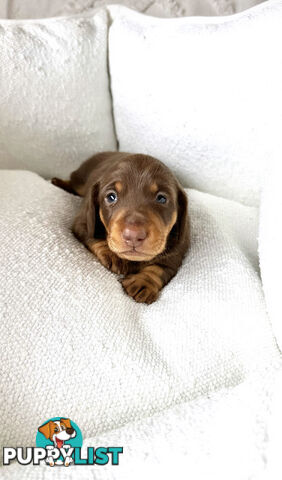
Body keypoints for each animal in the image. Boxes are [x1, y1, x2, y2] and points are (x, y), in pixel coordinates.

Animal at [53, 152, 189, 306]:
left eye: (161, 198)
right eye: (111, 197)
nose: (134, 235)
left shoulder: (179, 246)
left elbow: (161, 267)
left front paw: (144, 282)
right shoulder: (83, 223)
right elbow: (93, 237)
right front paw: (111, 254)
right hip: (81, 178)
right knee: (73, 183)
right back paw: (58, 182)